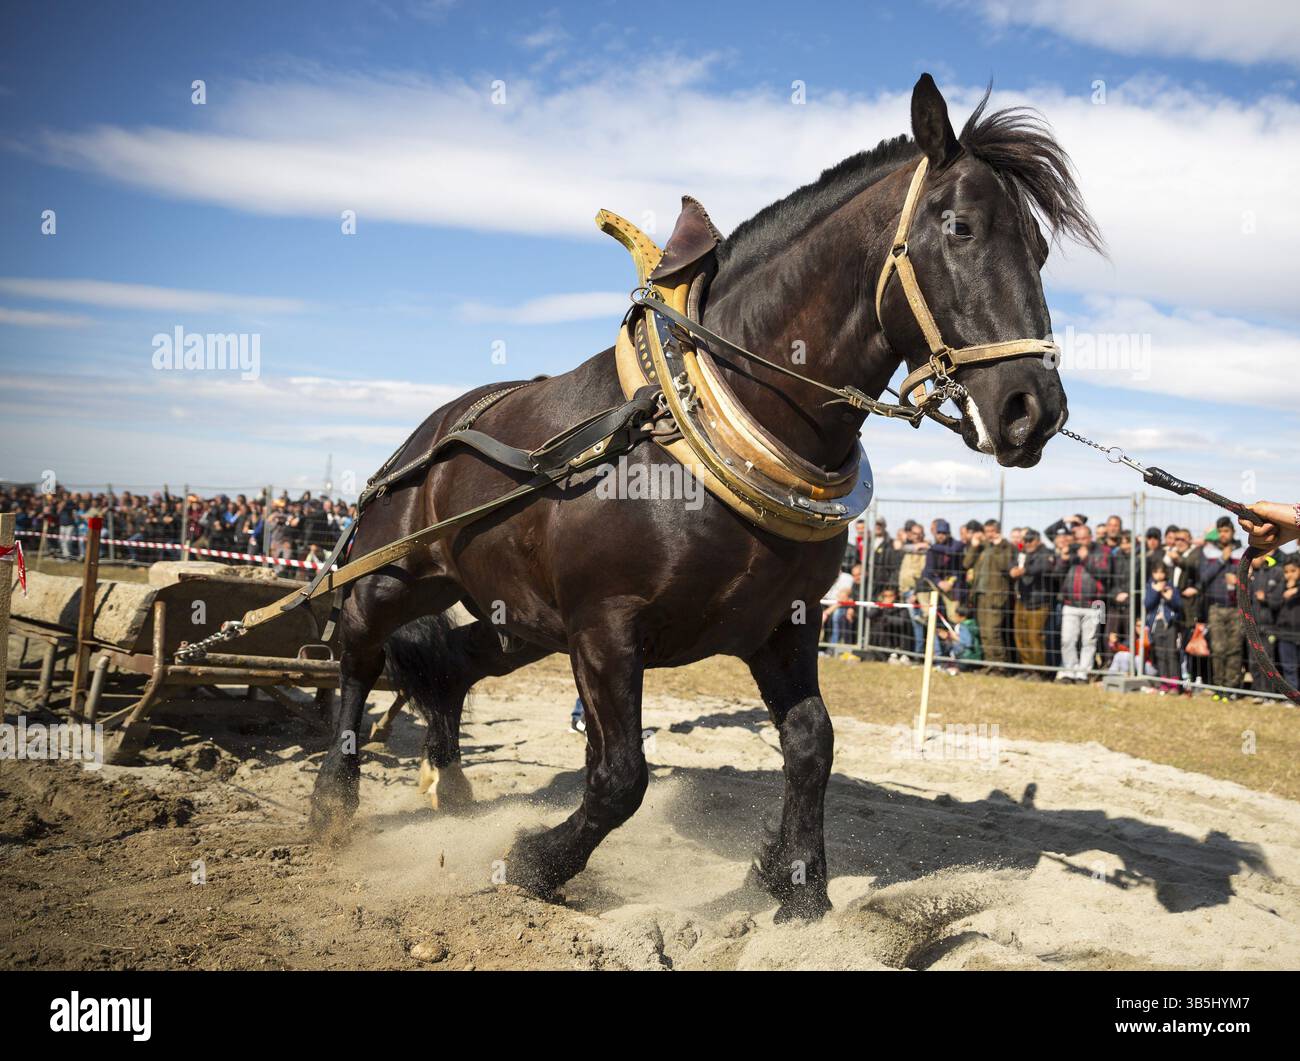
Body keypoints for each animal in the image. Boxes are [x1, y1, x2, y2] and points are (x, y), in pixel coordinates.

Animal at [308, 74, 1102, 921]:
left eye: (1040, 249)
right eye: (960, 227)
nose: (1032, 408)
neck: (691, 433)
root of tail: (435, 433)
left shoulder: (782, 622)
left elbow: (812, 742)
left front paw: (796, 888)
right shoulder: (605, 625)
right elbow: (621, 776)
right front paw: (535, 861)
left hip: (517, 613)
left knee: (450, 665)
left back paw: (448, 779)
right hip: (396, 573)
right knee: (357, 650)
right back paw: (334, 798)